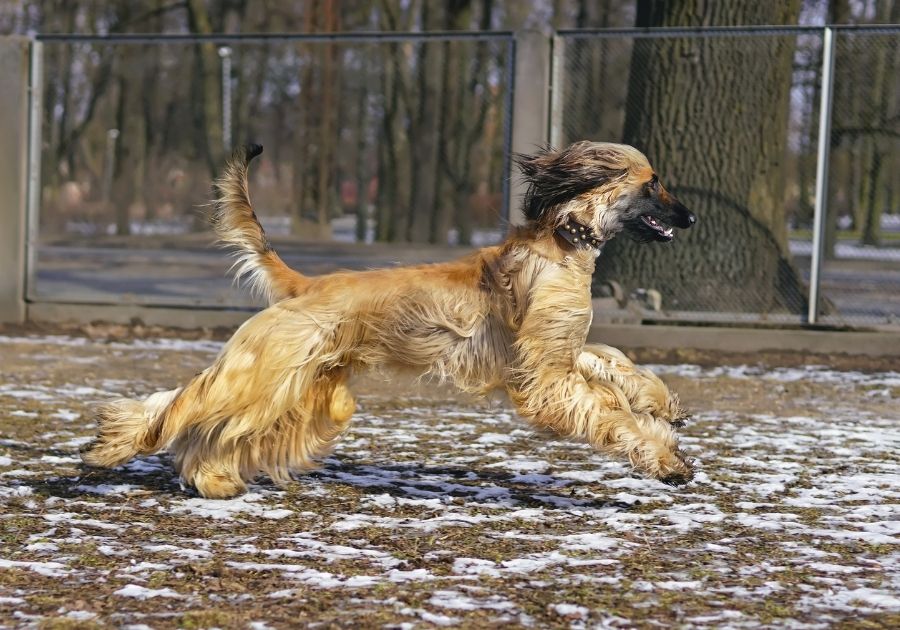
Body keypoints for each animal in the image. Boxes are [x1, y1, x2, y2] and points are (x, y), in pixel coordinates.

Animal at [82, 142, 696, 498]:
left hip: (310, 390)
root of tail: (307, 285)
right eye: (653, 182)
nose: (690, 218)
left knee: (217, 431)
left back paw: (213, 478)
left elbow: (614, 364)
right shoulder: (543, 377)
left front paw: (664, 405)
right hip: (270, 372)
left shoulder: (558, 353)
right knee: (188, 404)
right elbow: (609, 412)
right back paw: (111, 445)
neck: (565, 244)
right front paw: (666, 459)